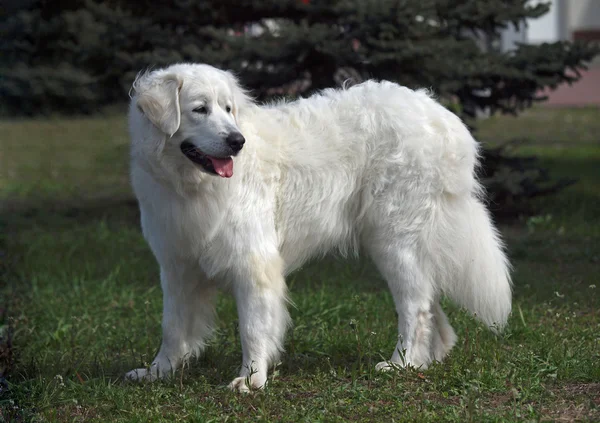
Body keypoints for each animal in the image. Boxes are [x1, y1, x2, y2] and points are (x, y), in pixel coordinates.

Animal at [126, 62, 510, 390]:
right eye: (200, 109)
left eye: (228, 108)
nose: (237, 142)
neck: (191, 186)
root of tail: (442, 116)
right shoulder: (177, 265)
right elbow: (173, 326)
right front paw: (158, 371)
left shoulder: (253, 263)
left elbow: (252, 326)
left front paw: (251, 378)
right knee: (429, 303)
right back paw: (425, 361)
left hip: (395, 241)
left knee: (415, 307)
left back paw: (402, 364)